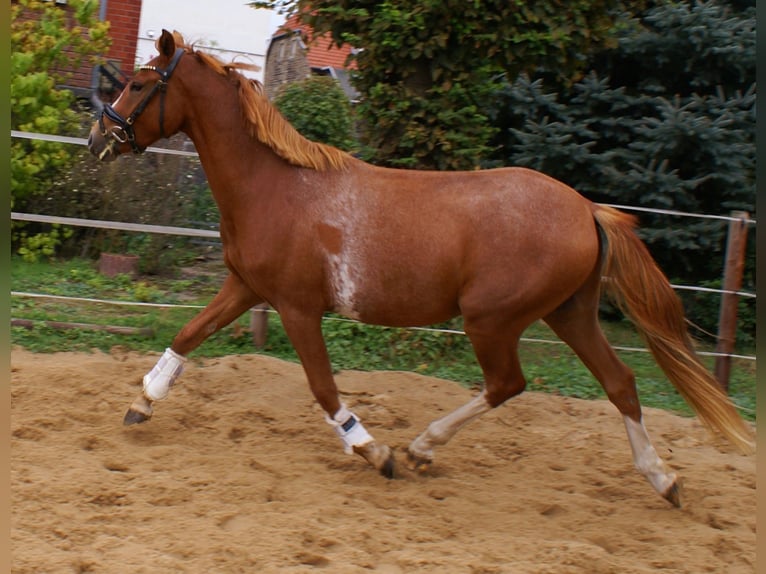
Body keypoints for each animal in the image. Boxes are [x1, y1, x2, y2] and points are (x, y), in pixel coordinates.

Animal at [87, 31, 752, 508]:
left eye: (140, 83)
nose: (98, 138)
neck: (276, 187)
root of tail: (587, 209)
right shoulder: (247, 287)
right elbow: (187, 334)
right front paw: (141, 406)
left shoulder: (298, 308)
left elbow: (324, 389)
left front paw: (374, 451)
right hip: (570, 314)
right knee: (621, 384)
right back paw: (663, 480)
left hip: (493, 319)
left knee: (508, 384)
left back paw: (421, 448)